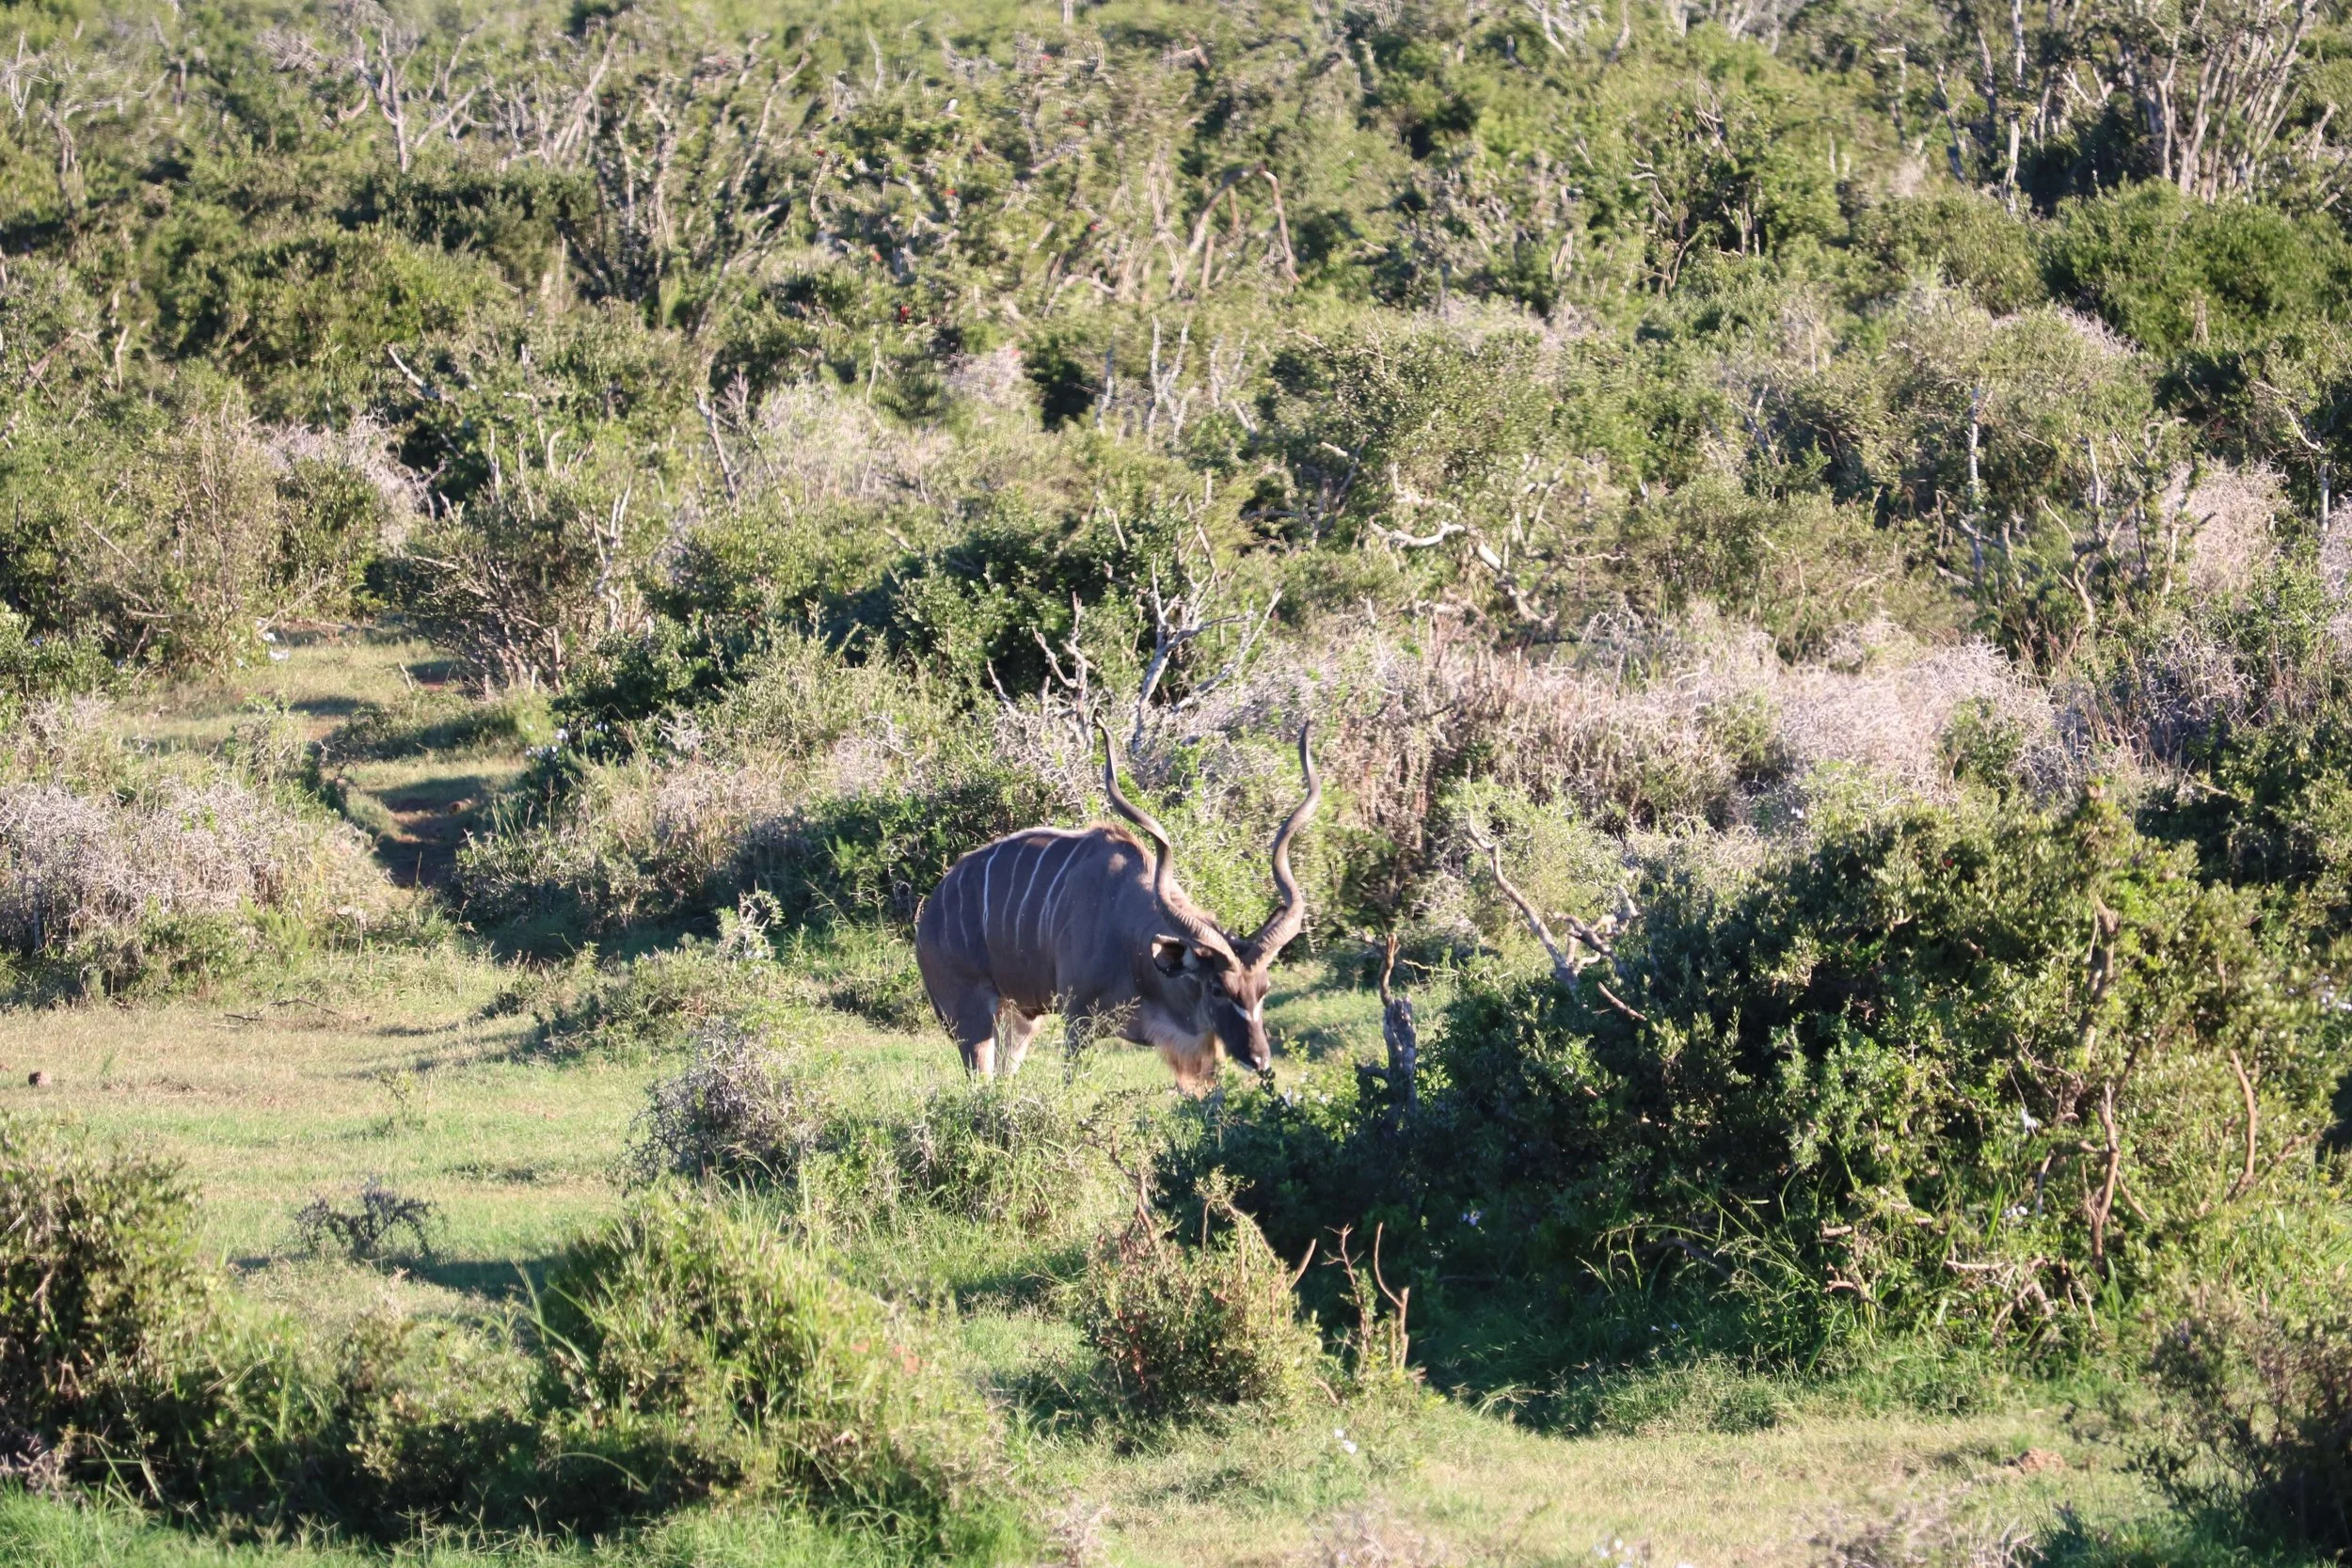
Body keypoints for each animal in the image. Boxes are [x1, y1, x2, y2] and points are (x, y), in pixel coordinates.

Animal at [914, 722, 1321, 1088]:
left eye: (1264, 989)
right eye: (1218, 989)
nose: (1260, 1059)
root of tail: (929, 915)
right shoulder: (1078, 1021)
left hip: (1020, 1018)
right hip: (971, 1018)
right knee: (979, 1084)